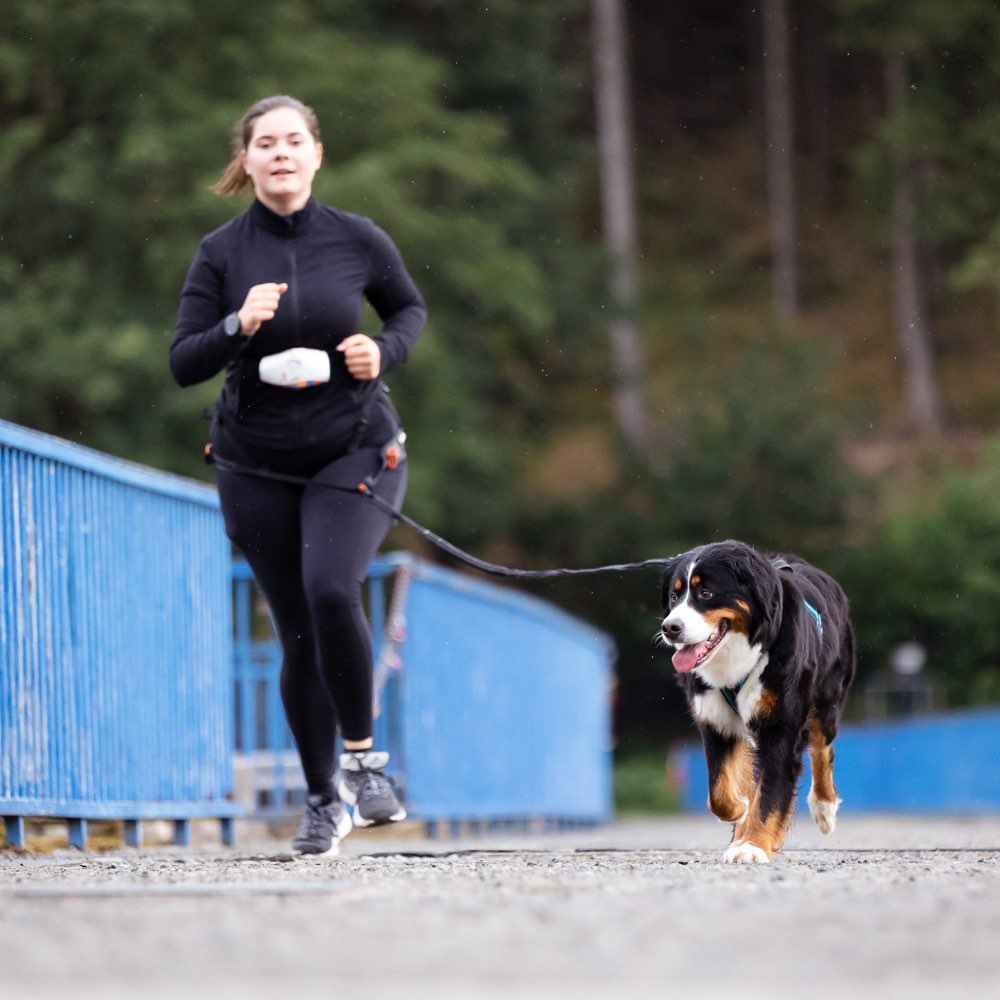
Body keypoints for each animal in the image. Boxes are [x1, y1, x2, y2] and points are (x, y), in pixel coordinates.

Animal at [656, 544, 860, 864]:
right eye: (674, 597)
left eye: (706, 593)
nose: (669, 628)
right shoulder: (716, 721)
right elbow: (721, 793)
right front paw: (741, 814)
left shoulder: (781, 726)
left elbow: (769, 794)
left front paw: (753, 845)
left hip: (827, 698)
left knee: (822, 748)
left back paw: (824, 808)